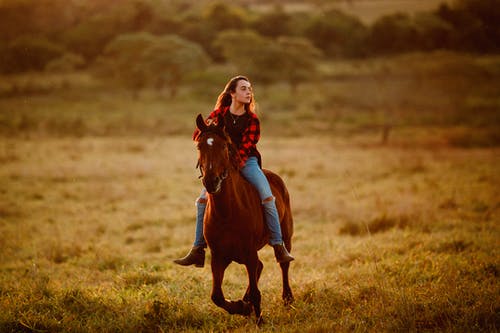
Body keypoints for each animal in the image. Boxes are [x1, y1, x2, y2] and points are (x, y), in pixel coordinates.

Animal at [192, 113, 292, 320]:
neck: (227, 213)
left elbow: (255, 292)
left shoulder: (249, 253)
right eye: (199, 146)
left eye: (224, 146)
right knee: (261, 267)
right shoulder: (218, 257)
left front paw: (258, 318)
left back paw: (287, 298)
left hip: (286, 235)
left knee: (283, 264)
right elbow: (216, 296)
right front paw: (242, 307)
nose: (211, 181)